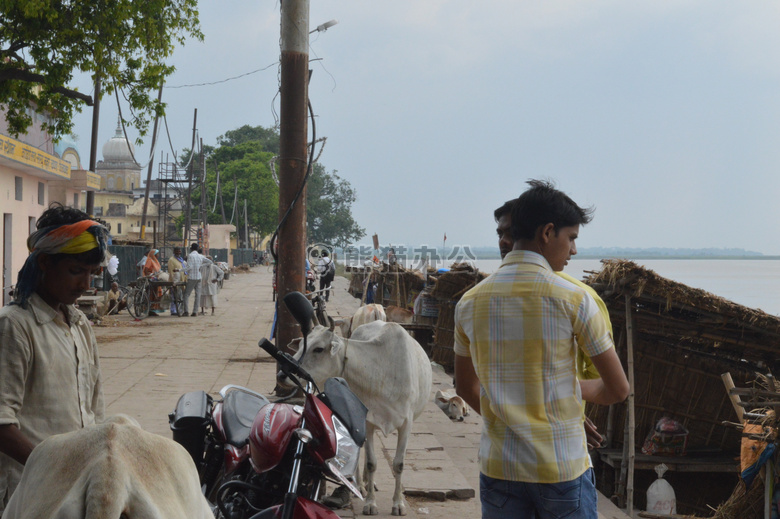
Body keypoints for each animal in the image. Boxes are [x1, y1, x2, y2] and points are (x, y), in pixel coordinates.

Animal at [280, 320, 432, 516]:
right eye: (300, 346)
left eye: (318, 349)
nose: (282, 375)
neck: (382, 369)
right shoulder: (367, 422)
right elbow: (371, 463)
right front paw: (370, 503)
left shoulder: (407, 424)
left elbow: (399, 464)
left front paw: (398, 503)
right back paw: (360, 485)